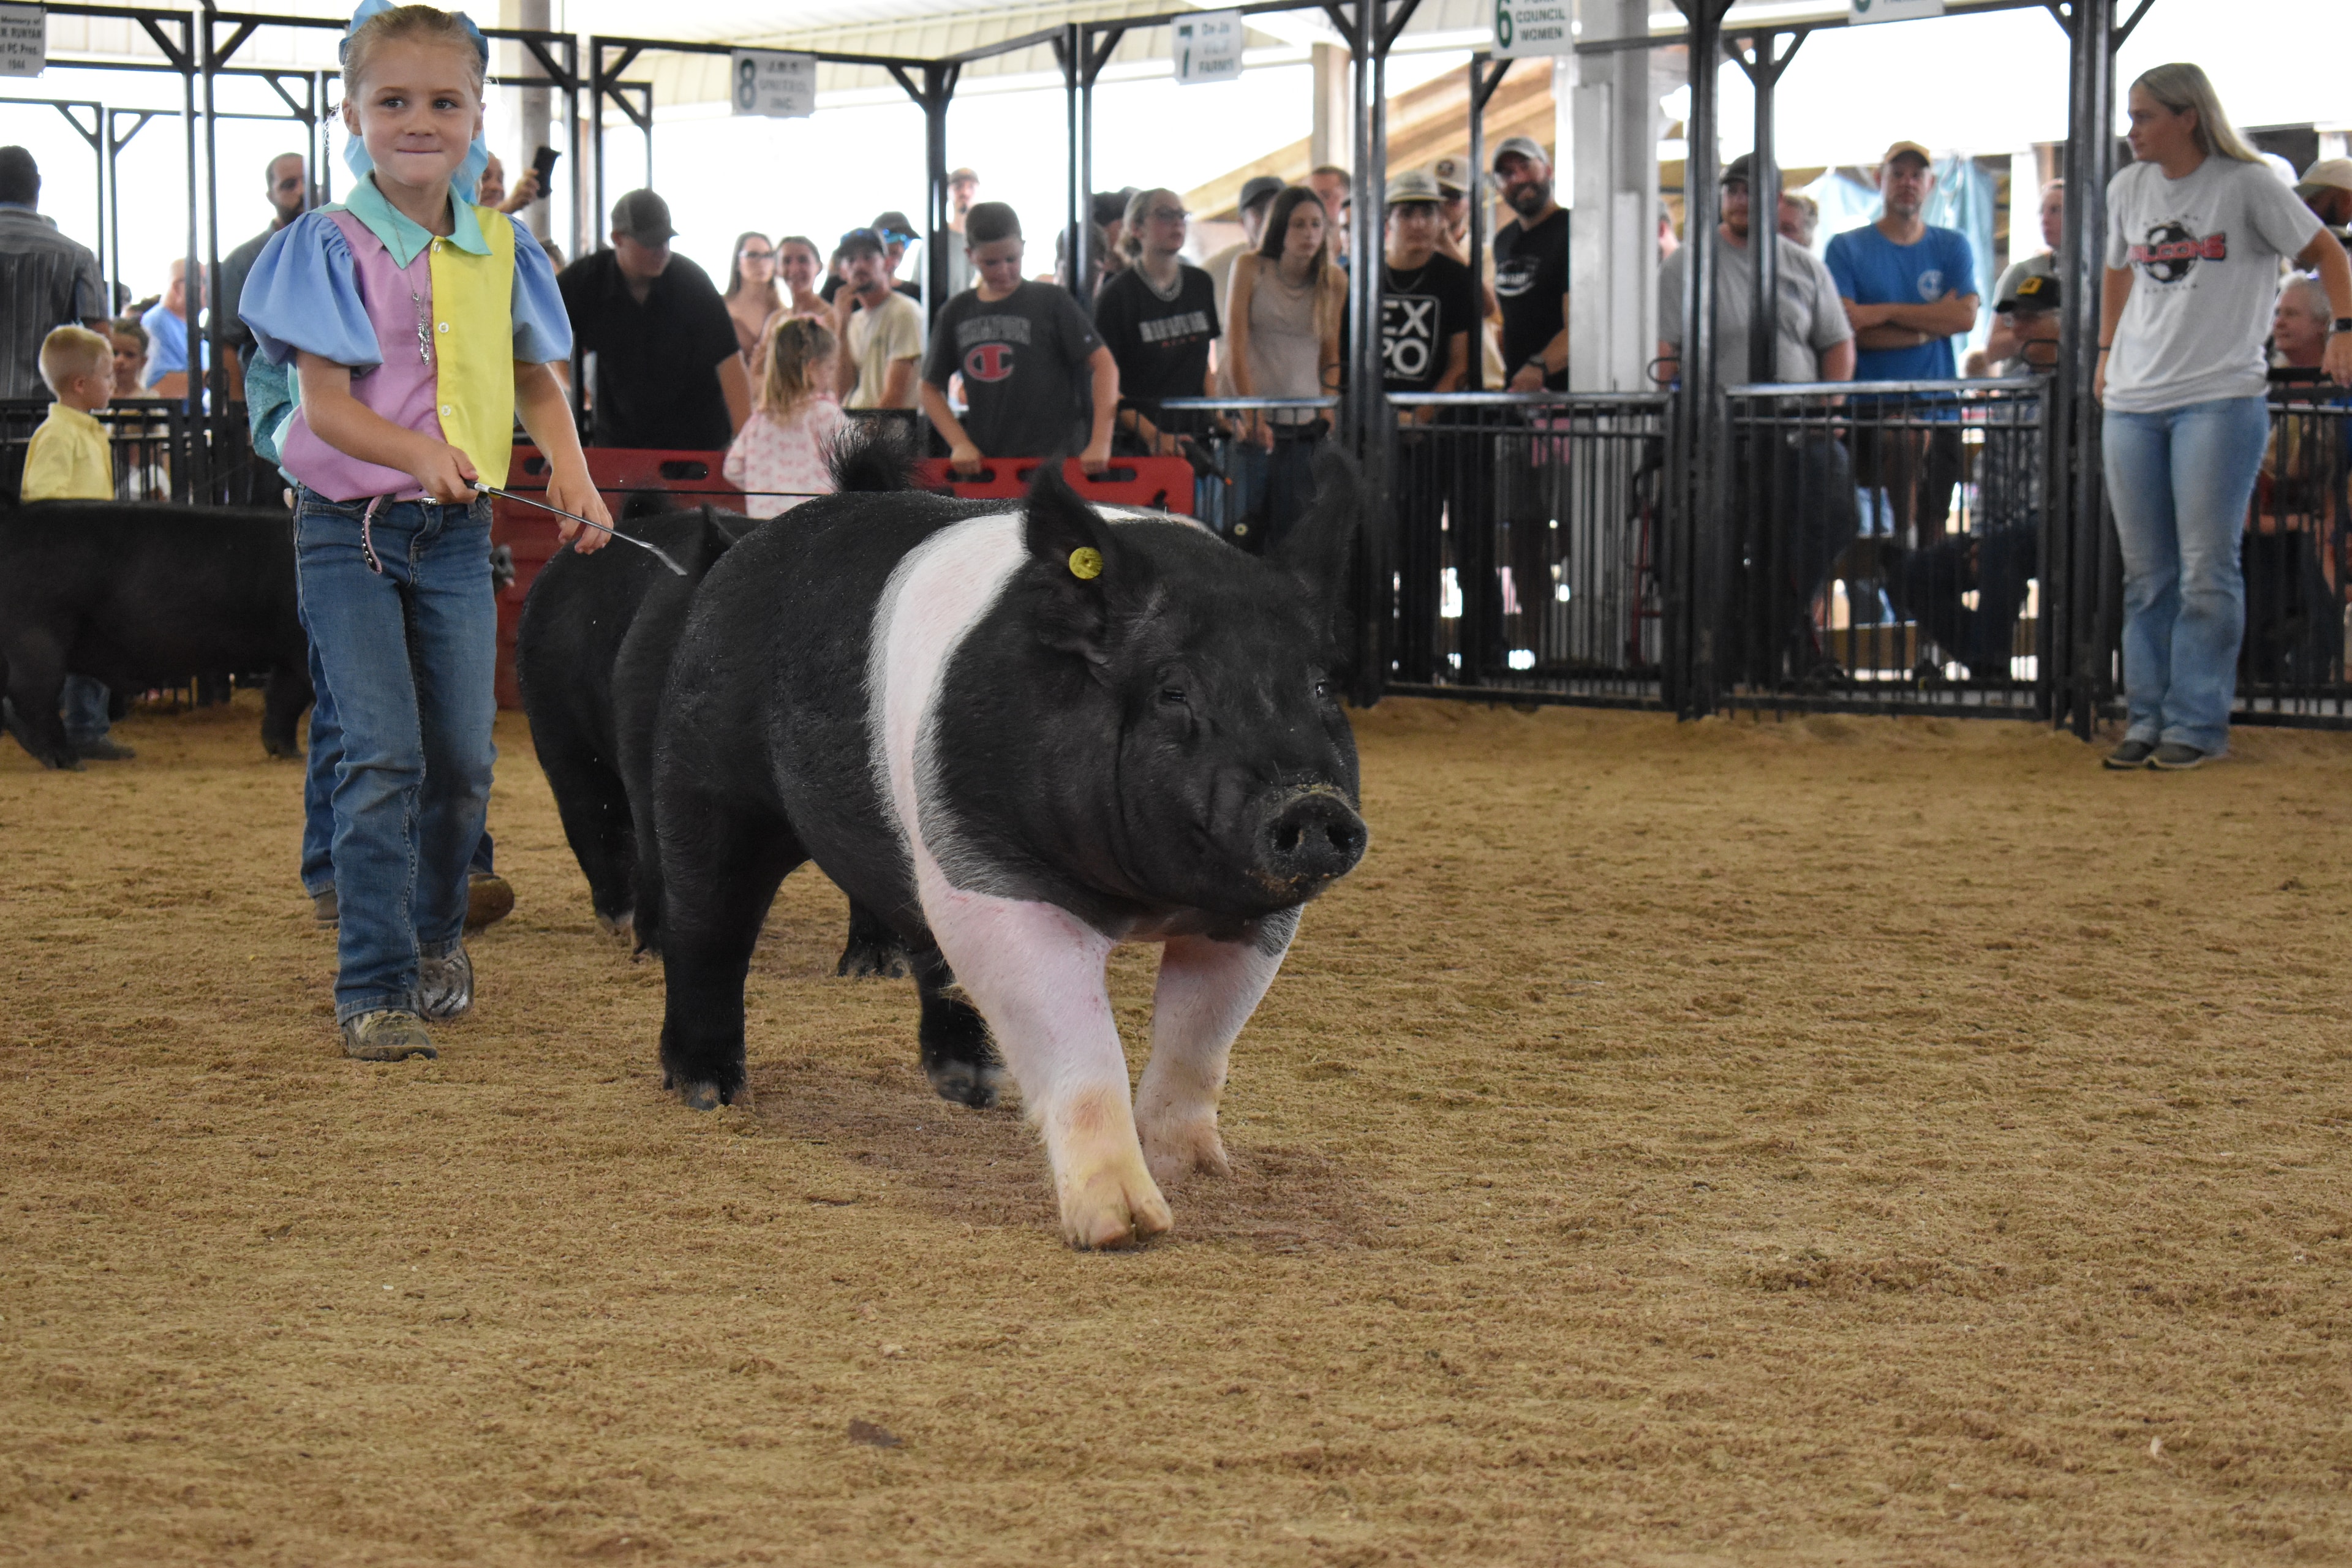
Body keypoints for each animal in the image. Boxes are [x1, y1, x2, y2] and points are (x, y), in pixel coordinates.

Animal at [0, 500, 311, 770]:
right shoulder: (301, 648)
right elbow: (295, 695)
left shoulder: (290, 655)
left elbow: (283, 697)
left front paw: (288, 753)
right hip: (37, 635)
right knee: (32, 695)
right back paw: (70, 762)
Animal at [650, 449, 1369, 1248]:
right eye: (1173, 691)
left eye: (1320, 687)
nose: (1312, 804)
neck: (1149, 903)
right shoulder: (996, 879)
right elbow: (1084, 1044)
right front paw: (1125, 1225)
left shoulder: (1253, 918)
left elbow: (1199, 1038)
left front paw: (1203, 1173)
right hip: (702, 773)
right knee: (707, 924)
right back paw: (709, 1091)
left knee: (928, 951)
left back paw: (974, 1088)